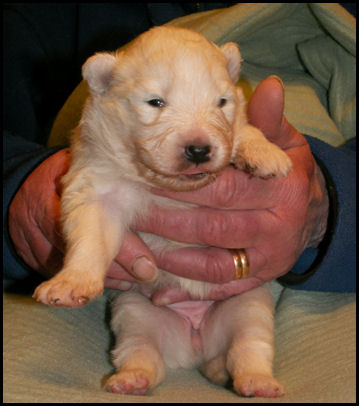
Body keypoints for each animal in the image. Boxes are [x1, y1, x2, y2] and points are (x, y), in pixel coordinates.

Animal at [34, 26, 292, 396]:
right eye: (156, 102)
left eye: (221, 101)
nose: (198, 149)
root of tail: (195, 349)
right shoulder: (99, 180)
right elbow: (91, 233)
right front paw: (69, 283)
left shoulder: (233, 126)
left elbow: (244, 130)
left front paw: (265, 154)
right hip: (136, 312)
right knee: (140, 350)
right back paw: (131, 379)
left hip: (246, 303)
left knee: (249, 345)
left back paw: (257, 381)